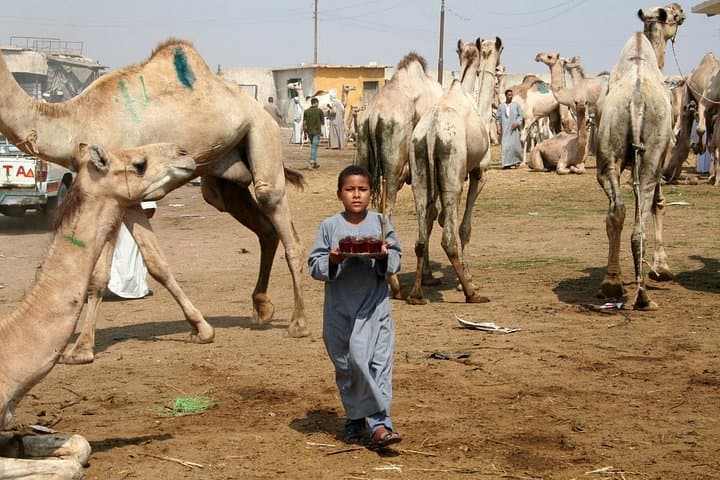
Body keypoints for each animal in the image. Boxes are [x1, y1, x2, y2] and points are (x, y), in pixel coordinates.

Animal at [0, 39, 310, 365]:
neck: (75, 120)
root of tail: (262, 111)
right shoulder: (120, 195)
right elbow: (152, 263)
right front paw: (200, 329)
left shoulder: (119, 188)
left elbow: (106, 273)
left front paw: (82, 348)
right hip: (224, 176)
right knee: (260, 226)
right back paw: (262, 308)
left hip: (262, 135)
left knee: (277, 213)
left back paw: (298, 323)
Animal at [355, 51, 443, 297]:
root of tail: (374, 116)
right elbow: (429, 215)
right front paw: (428, 277)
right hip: (393, 168)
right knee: (387, 213)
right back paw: (394, 284)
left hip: (362, 148)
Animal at [406, 37, 503, 305]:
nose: (500, 69)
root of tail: (431, 133)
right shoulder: (479, 172)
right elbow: (464, 227)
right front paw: (467, 280)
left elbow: (436, 218)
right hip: (452, 174)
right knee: (449, 238)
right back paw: (473, 294)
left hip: (420, 172)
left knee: (420, 235)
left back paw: (416, 294)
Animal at [595, 32, 673, 310]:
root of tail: (637, 102)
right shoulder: (662, 157)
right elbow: (660, 203)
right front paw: (663, 269)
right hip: (652, 155)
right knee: (644, 207)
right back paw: (643, 297)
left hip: (609, 150)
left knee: (618, 209)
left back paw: (613, 284)